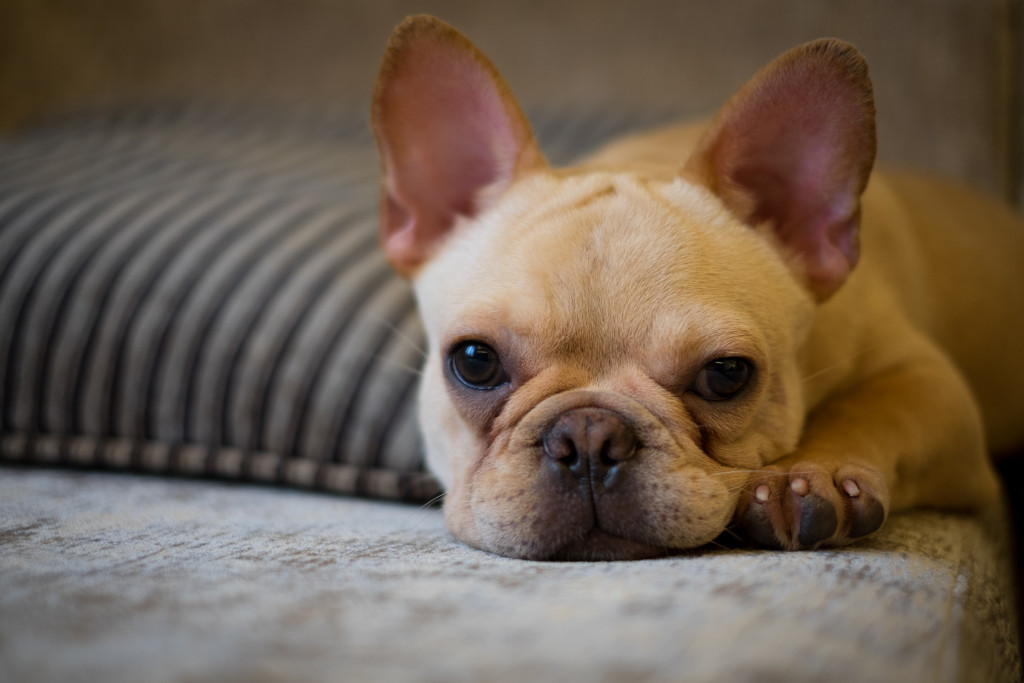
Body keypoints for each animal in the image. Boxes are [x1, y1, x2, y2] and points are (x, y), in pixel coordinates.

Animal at [372, 15, 1024, 561]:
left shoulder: (927, 382)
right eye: (474, 361)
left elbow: (868, 406)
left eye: (727, 374)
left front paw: (809, 473)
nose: (588, 436)